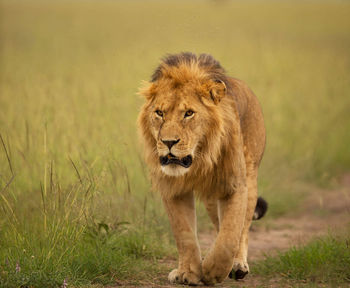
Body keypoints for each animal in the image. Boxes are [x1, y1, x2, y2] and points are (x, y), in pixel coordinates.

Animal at [138, 52, 266, 286]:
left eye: (189, 113)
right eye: (159, 112)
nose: (168, 142)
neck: (199, 158)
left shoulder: (234, 185)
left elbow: (229, 236)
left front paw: (213, 271)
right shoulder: (173, 188)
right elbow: (185, 234)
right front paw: (189, 273)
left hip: (250, 177)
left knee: (242, 228)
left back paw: (238, 266)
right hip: (211, 198)